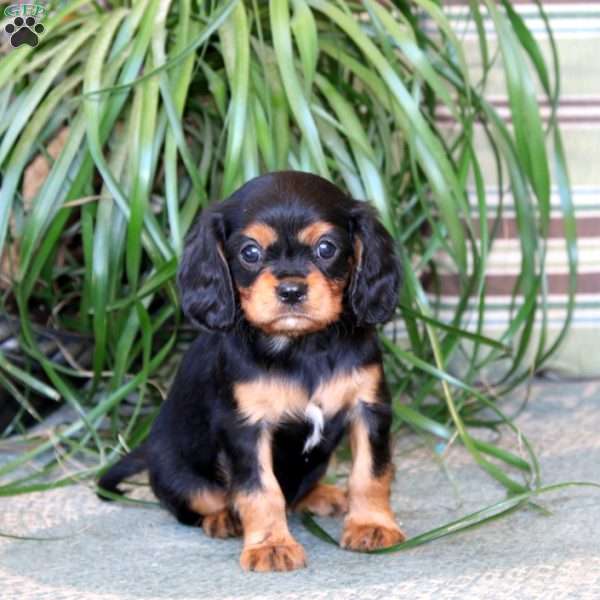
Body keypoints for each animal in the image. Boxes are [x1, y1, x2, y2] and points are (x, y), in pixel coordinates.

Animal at [99, 170, 408, 572]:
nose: (291, 290)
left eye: (326, 248)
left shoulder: (368, 408)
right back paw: (222, 518)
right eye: (250, 252)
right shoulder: (246, 427)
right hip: (181, 476)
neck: (301, 347)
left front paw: (371, 524)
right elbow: (260, 490)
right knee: (197, 505)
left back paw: (321, 495)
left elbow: (371, 472)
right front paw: (271, 546)